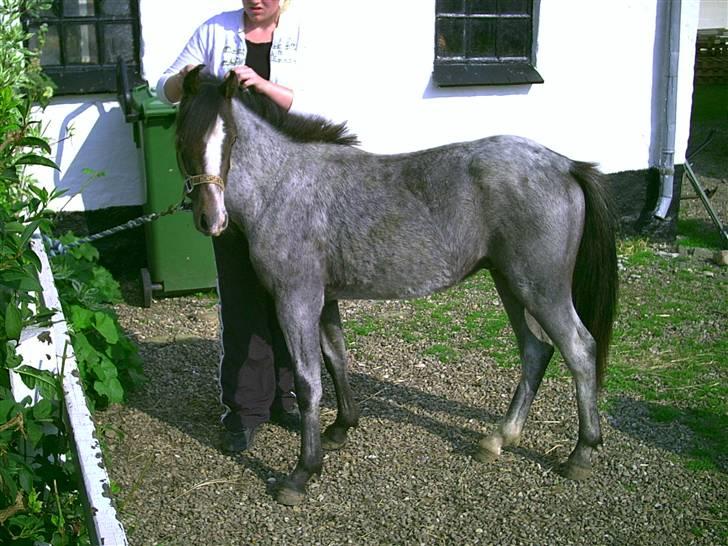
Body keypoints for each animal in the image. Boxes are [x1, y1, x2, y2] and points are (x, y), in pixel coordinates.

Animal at [175, 69, 616, 506]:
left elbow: (308, 381)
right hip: (511, 284)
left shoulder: (296, 300)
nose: (210, 219)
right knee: (535, 351)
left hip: (541, 289)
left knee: (579, 350)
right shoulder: (324, 300)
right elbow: (336, 358)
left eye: (230, 138)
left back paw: (581, 454)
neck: (285, 185)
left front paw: (302, 473)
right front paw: (341, 428)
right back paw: (499, 439)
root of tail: (565, 165)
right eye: (182, 138)